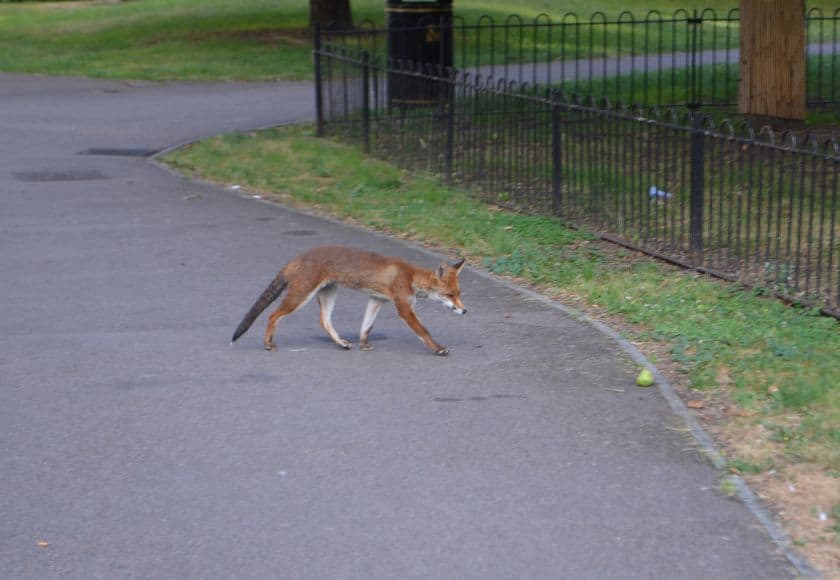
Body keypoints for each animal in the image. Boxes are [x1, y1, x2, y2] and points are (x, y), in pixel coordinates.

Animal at [231, 245, 467, 355]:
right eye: (450, 295)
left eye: (459, 293)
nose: (464, 311)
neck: (410, 277)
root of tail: (297, 257)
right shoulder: (404, 308)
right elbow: (424, 332)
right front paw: (438, 349)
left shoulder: (376, 300)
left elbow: (366, 327)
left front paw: (363, 344)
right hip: (300, 296)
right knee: (272, 315)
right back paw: (268, 343)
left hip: (328, 293)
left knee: (324, 321)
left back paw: (341, 343)